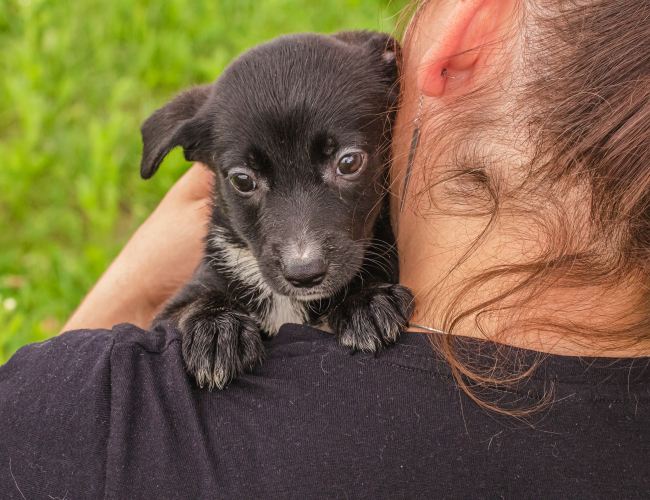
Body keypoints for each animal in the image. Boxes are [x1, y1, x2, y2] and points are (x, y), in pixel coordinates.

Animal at [139, 31, 412, 388]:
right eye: (242, 180)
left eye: (349, 162)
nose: (304, 274)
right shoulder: (180, 300)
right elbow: (189, 306)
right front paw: (215, 326)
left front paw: (365, 299)